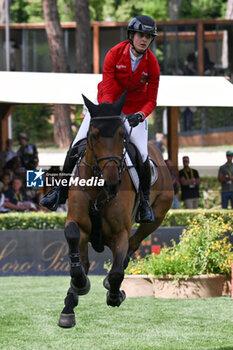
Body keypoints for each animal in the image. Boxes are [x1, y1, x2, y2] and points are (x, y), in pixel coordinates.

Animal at [57, 93, 173, 328]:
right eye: (93, 135)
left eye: (122, 136)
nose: (112, 181)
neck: (98, 188)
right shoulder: (77, 223)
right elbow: (74, 243)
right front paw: (78, 285)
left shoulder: (120, 233)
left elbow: (118, 271)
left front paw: (114, 294)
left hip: (157, 215)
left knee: (134, 242)